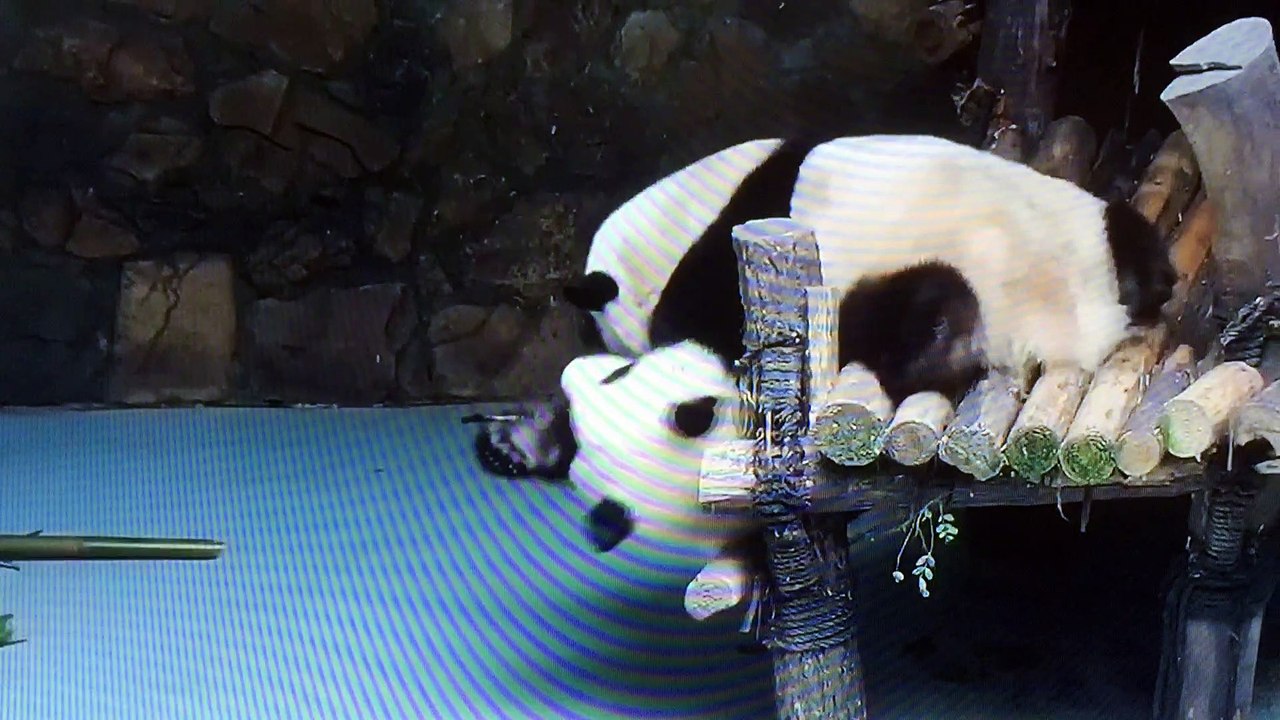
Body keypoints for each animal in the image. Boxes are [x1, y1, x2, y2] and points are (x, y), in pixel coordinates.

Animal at [561, 133, 1177, 403]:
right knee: (1130, 237)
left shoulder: (709, 272)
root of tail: (1092, 327)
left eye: (599, 331)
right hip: (1091, 223)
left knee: (923, 317)